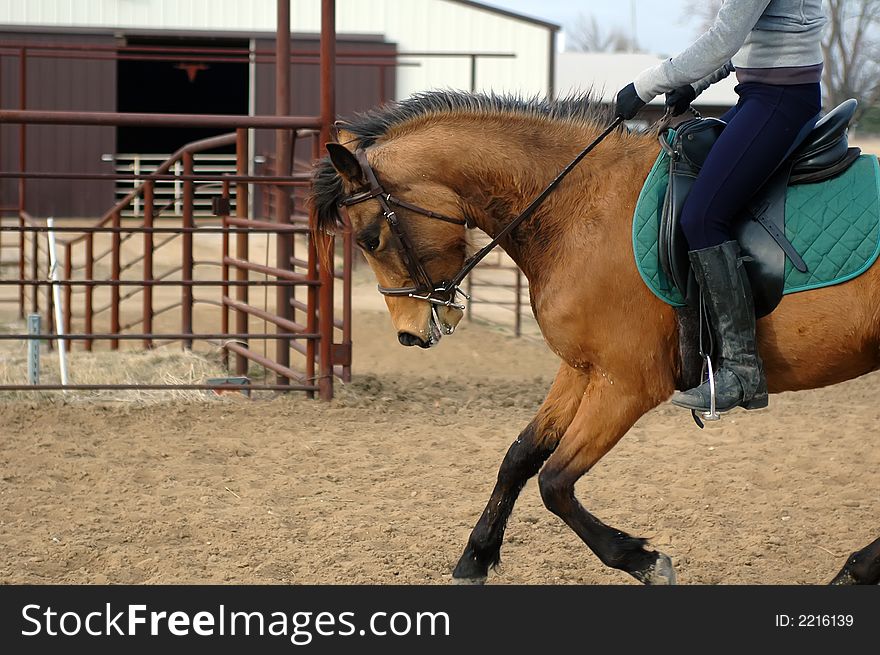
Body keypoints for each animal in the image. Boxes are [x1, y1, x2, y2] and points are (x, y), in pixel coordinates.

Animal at [310, 89, 880, 588]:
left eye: (370, 239)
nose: (409, 335)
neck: (580, 206)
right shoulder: (582, 368)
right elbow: (520, 457)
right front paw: (474, 558)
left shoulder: (627, 384)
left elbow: (555, 481)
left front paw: (643, 560)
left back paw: (855, 570)